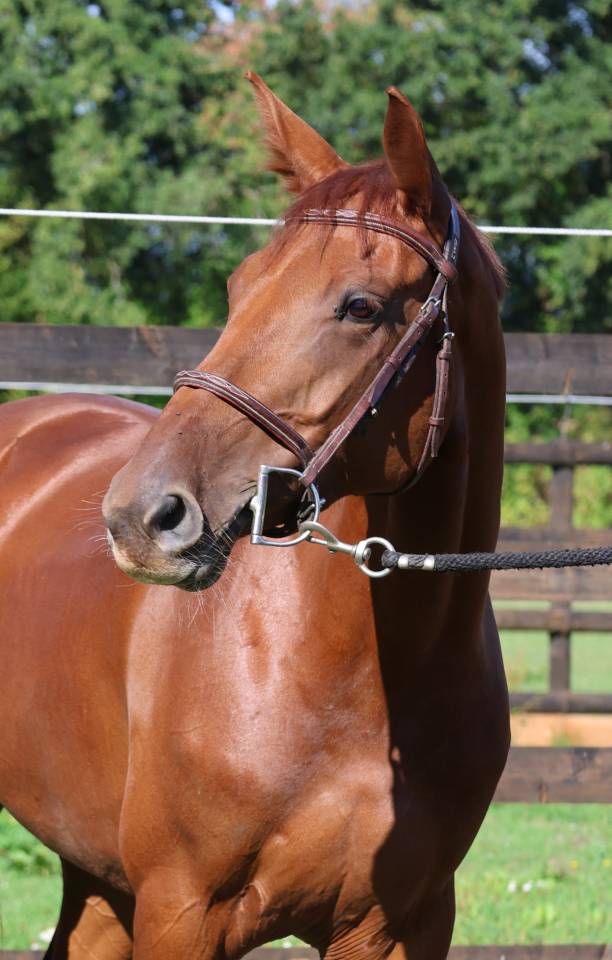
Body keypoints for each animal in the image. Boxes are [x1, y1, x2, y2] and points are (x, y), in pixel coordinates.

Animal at [0, 74, 509, 960]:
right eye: (239, 288)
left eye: (361, 307)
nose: (142, 514)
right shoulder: (181, 912)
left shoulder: (399, 927)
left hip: (98, 880)